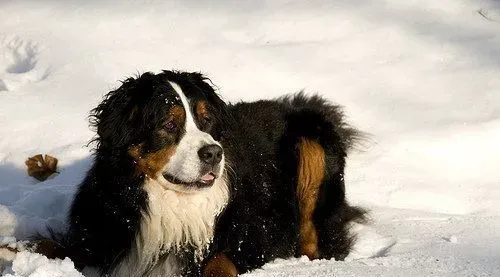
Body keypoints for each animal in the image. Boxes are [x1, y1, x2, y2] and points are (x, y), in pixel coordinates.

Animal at [63, 70, 368, 274]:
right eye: (168, 124)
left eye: (206, 119)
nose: (213, 153)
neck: (174, 206)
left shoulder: (252, 235)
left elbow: (220, 262)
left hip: (312, 144)